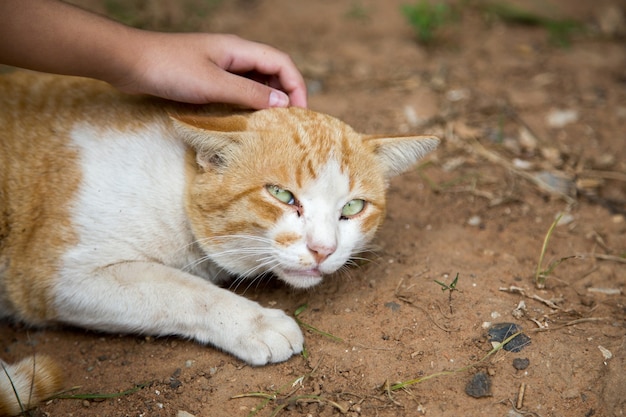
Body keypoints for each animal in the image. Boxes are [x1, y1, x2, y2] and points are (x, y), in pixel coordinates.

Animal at [0, 71, 438, 412]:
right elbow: (181, 289)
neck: (177, 183)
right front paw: (256, 322)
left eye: (353, 207)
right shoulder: (55, 278)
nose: (323, 249)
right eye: (282, 195)